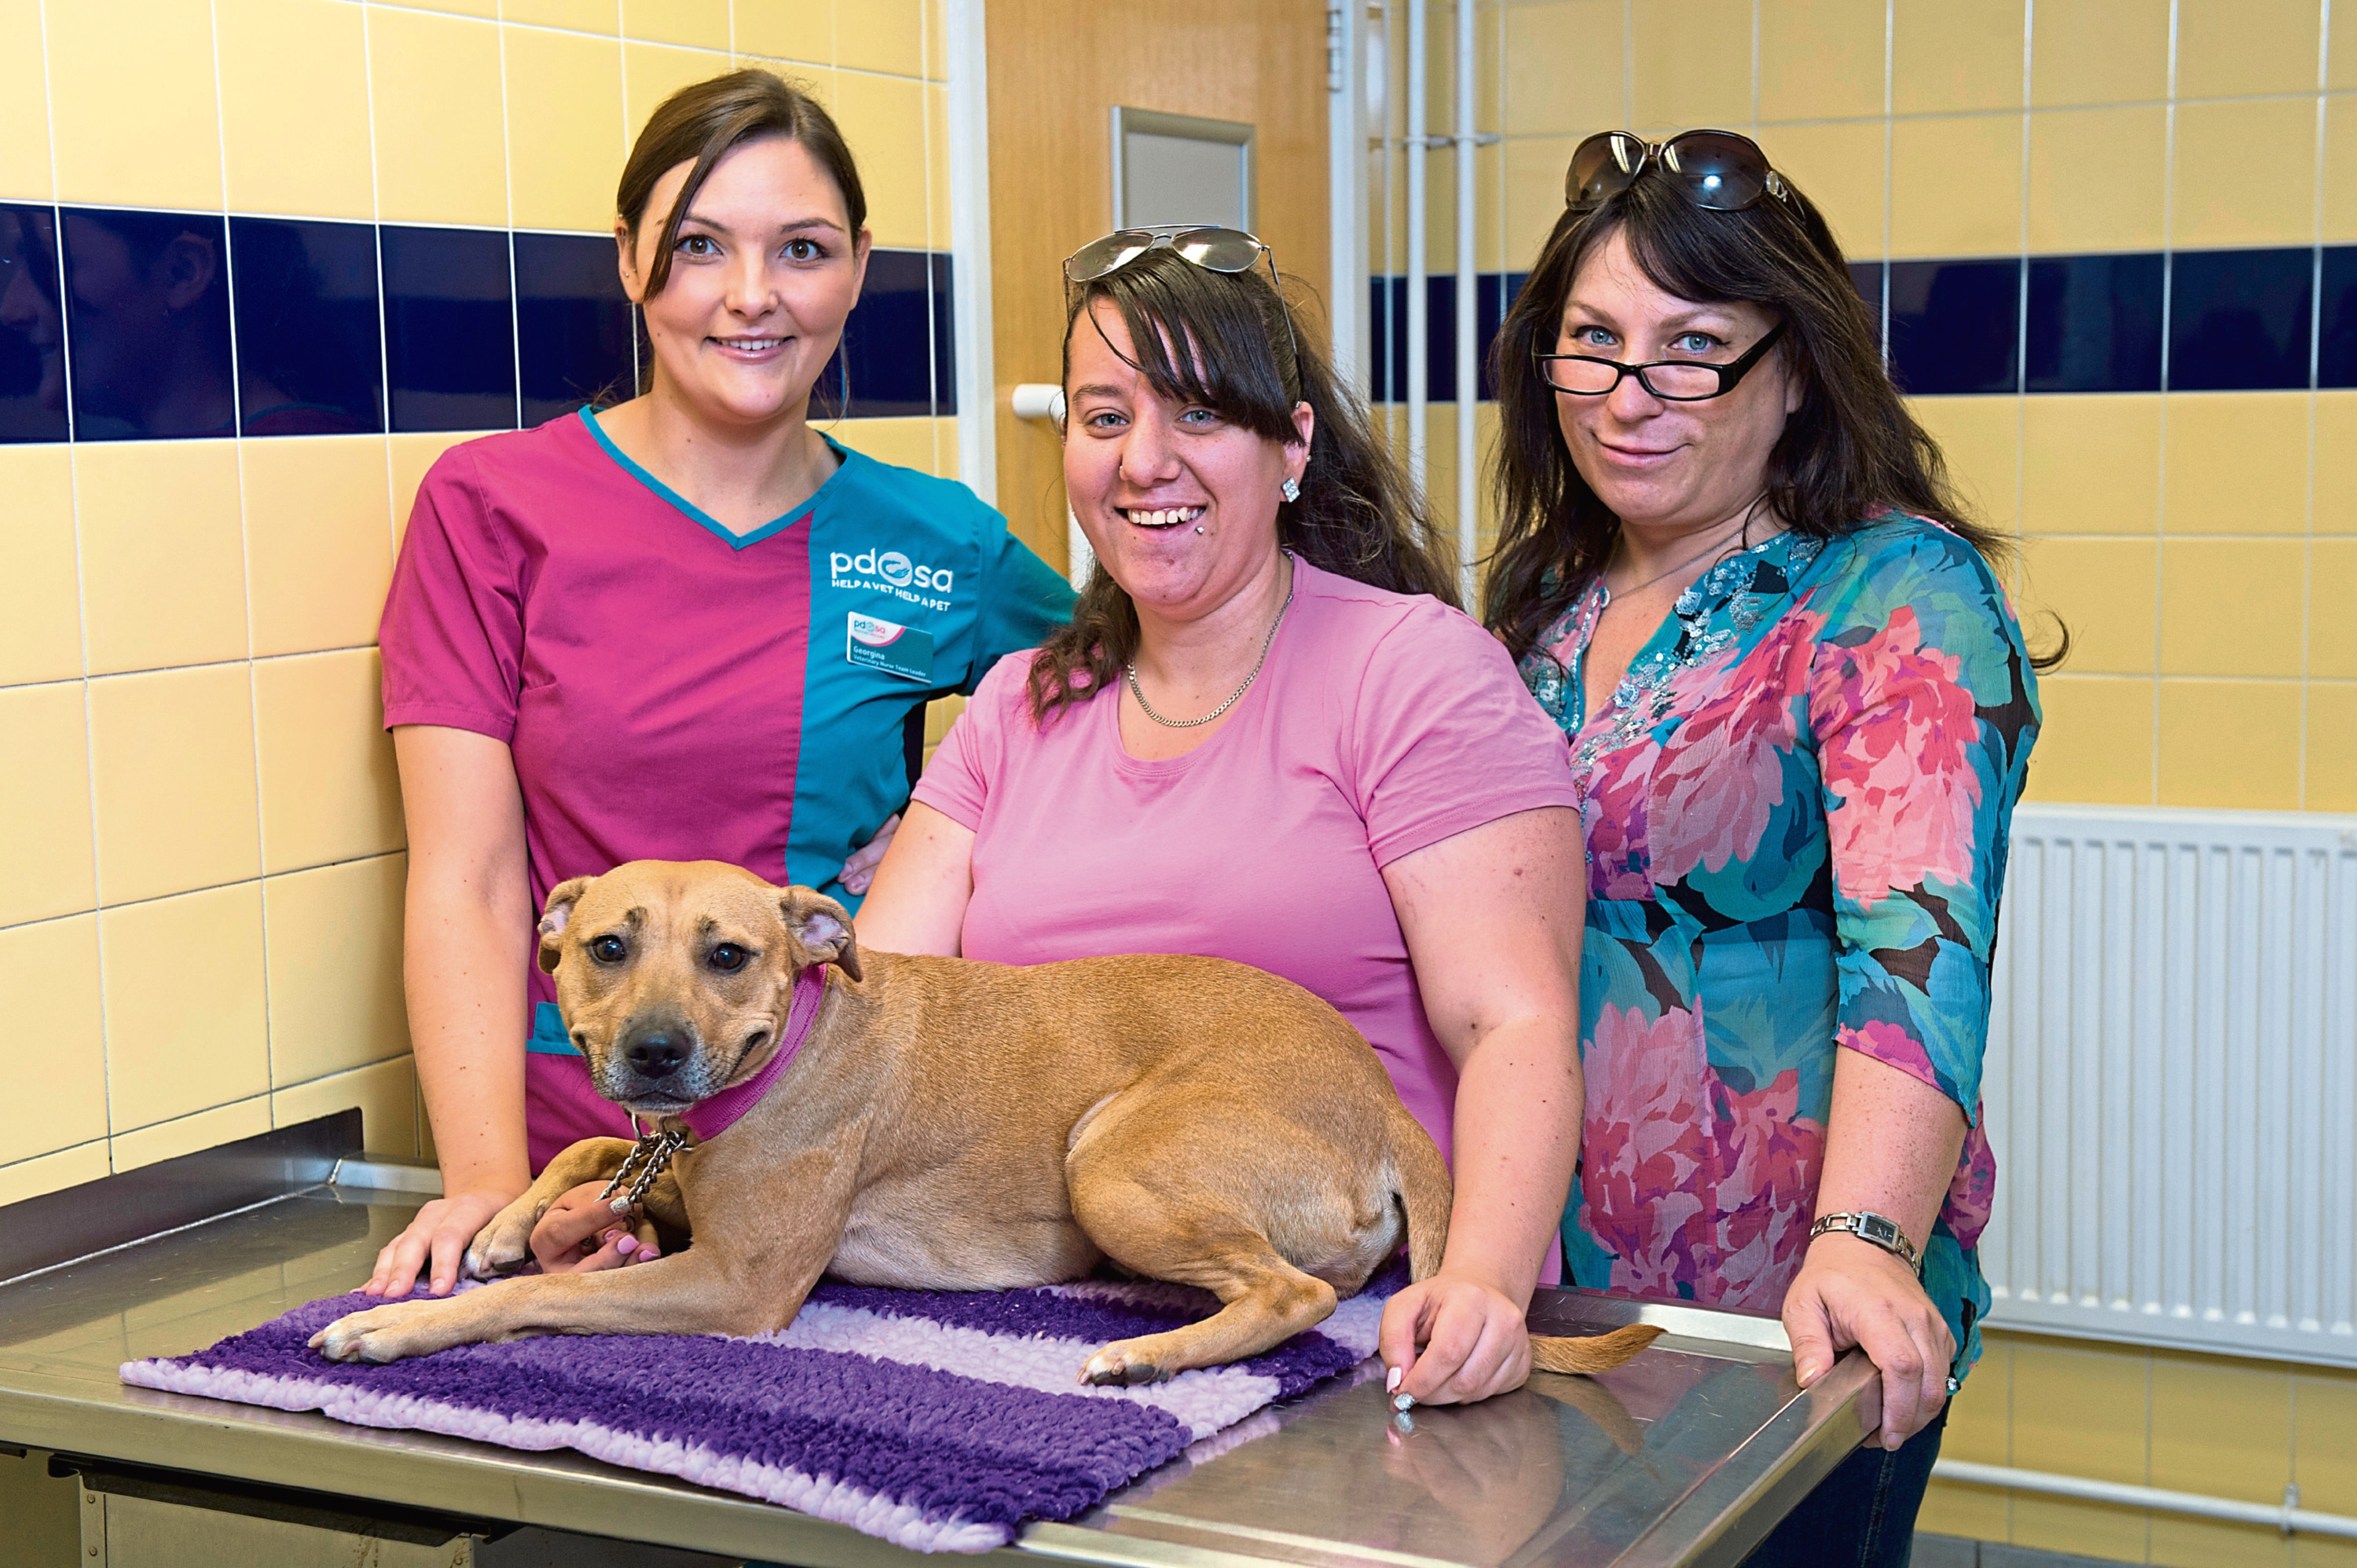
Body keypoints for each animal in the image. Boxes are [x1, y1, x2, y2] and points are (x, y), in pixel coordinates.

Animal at [318, 858, 1659, 1386]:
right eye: (607, 947)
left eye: (728, 955)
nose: (653, 1051)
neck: (784, 1048)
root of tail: (1384, 1103)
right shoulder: (662, 1154)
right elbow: (591, 1146)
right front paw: (508, 1222)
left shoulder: (736, 1286)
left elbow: (552, 1293)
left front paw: (407, 1325)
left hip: (1110, 1158)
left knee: (1296, 1298)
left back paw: (1146, 1358)